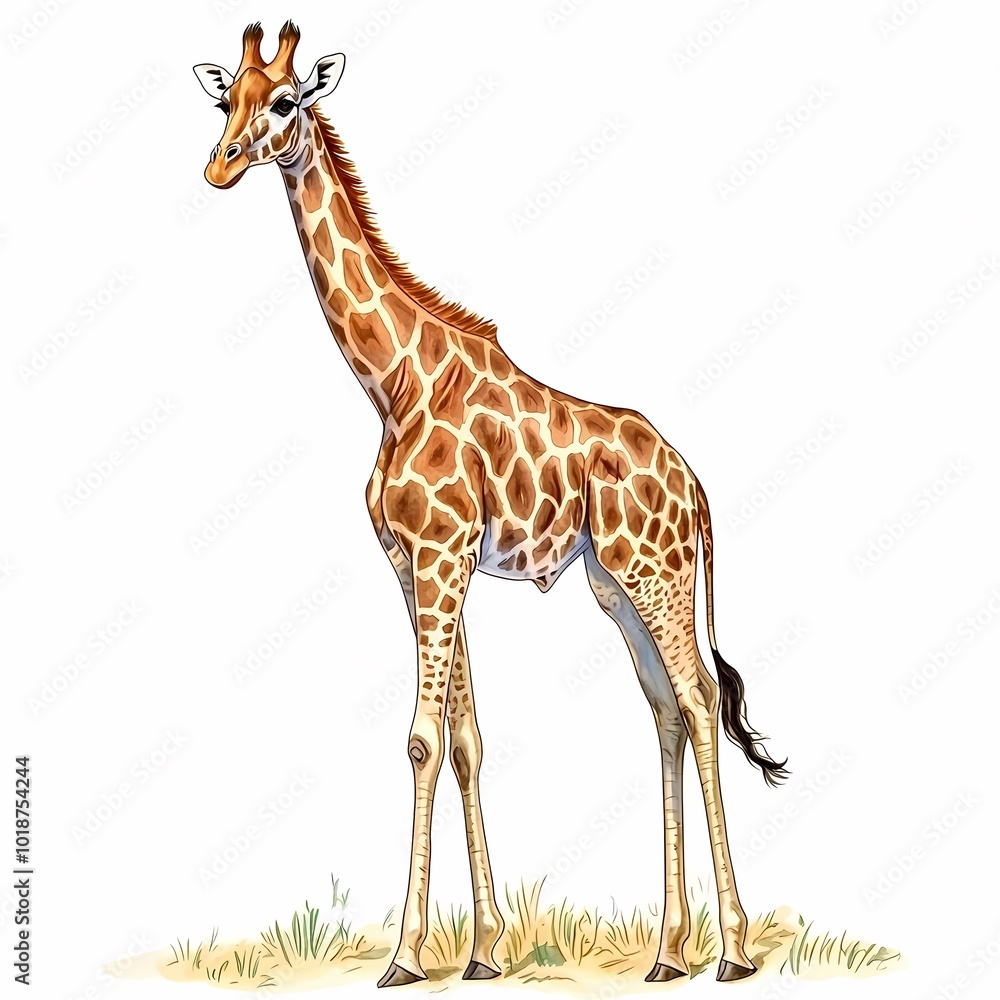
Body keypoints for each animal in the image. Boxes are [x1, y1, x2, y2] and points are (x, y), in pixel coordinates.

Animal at [194, 22, 789, 988]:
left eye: (283, 102)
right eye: (224, 99)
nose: (218, 165)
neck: (392, 383)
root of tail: (695, 483)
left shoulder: (442, 557)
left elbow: (422, 739)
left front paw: (404, 955)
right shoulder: (417, 561)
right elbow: (466, 735)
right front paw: (482, 950)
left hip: (655, 576)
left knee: (700, 701)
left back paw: (732, 949)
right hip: (614, 586)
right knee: (666, 709)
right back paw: (669, 952)